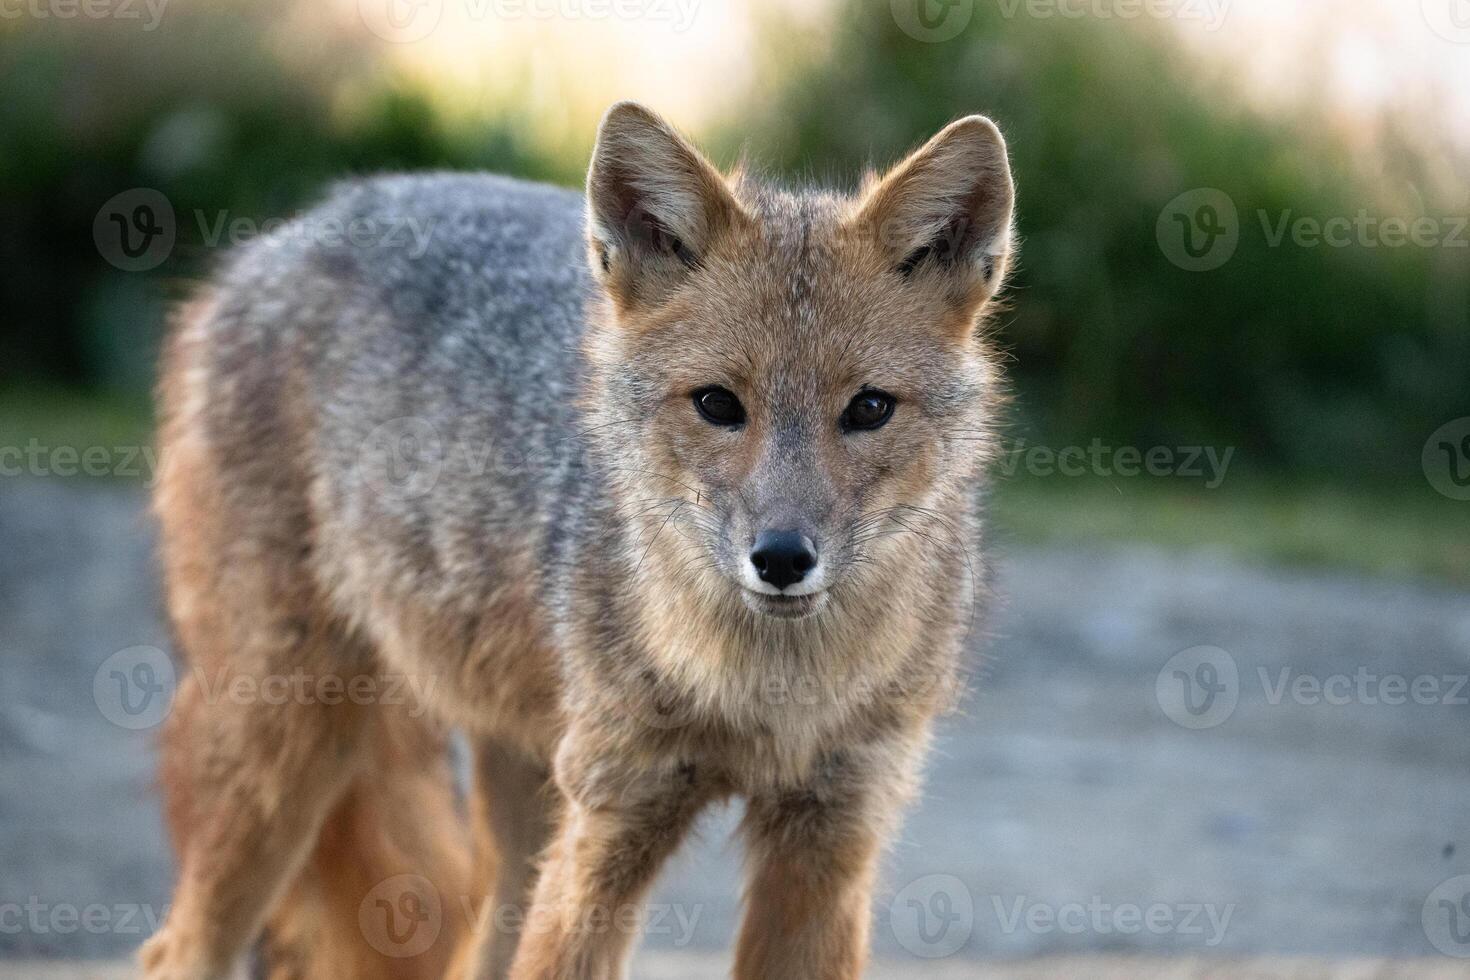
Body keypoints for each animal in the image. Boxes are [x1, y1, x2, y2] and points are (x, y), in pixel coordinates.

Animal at [140, 101, 1011, 980]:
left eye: (869, 409)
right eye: (717, 404)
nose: (782, 559)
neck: (766, 696)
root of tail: (284, 237)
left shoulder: (832, 836)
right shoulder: (612, 818)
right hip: (281, 765)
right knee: (173, 951)